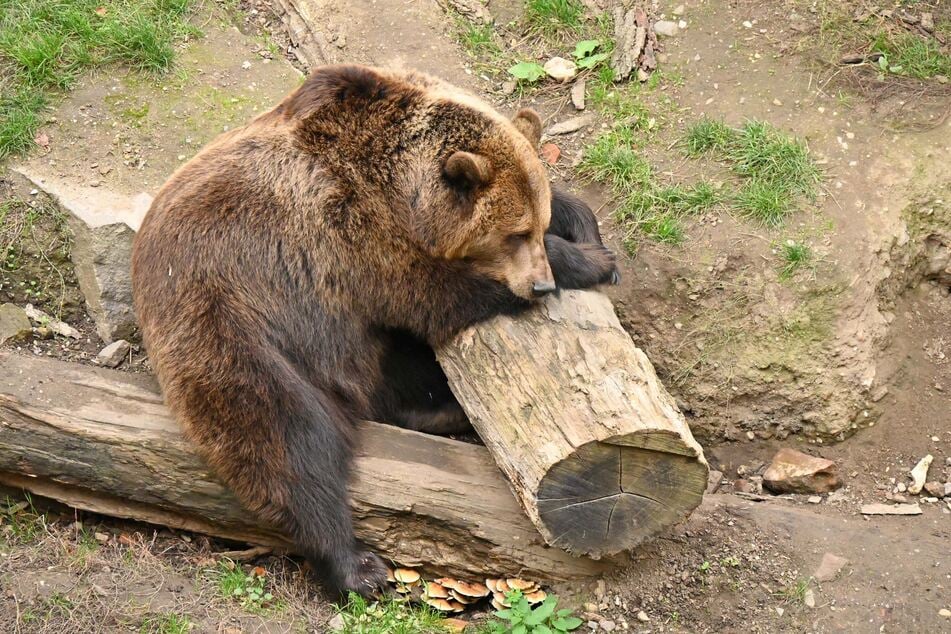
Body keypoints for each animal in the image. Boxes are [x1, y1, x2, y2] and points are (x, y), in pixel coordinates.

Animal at [132, 65, 616, 596]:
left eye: (534, 224)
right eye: (514, 233)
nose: (540, 284)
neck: (400, 189)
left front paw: (584, 228)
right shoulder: (353, 240)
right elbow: (436, 296)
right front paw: (588, 262)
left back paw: (441, 413)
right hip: (235, 329)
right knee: (285, 435)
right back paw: (356, 565)